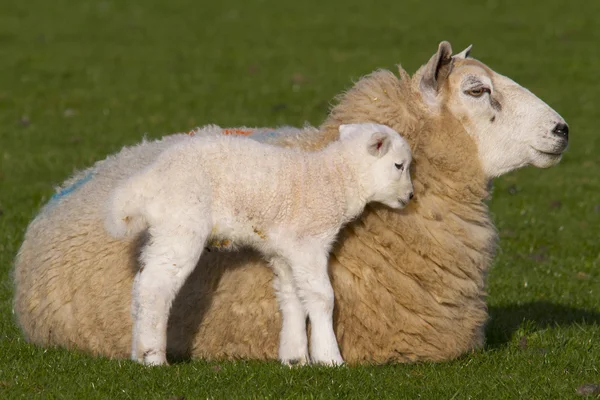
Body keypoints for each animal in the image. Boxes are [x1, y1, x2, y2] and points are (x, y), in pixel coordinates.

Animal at [104, 123, 412, 368]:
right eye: (399, 166)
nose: (410, 196)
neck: (336, 180)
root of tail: (147, 181)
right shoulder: (309, 244)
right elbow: (322, 297)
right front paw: (330, 358)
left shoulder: (284, 252)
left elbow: (292, 298)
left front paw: (295, 359)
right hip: (182, 224)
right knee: (156, 286)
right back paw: (154, 357)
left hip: (164, 230)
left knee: (141, 283)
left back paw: (137, 353)